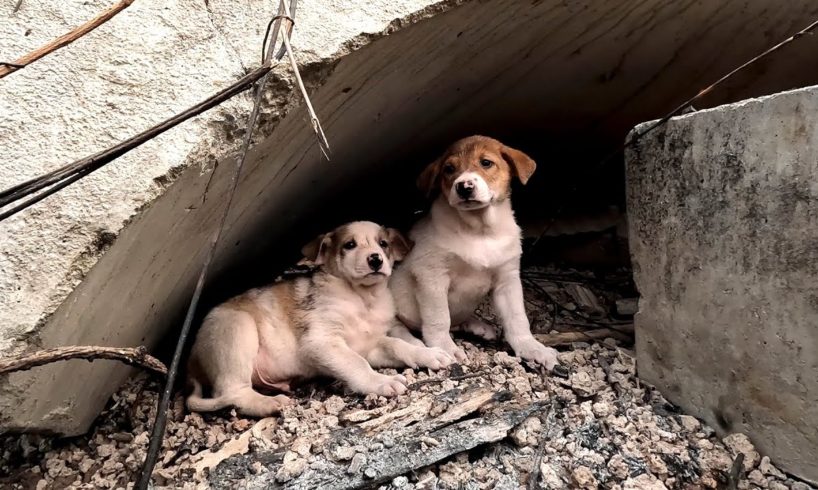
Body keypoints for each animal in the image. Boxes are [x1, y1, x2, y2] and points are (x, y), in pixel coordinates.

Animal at [186, 222, 452, 418]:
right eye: (350, 245)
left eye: (383, 243)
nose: (375, 259)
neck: (363, 298)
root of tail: (192, 359)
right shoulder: (322, 342)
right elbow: (356, 364)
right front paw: (381, 382)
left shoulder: (369, 347)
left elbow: (396, 344)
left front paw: (428, 354)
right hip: (238, 328)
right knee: (232, 391)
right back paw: (269, 404)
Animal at [388, 136, 556, 370]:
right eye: (449, 169)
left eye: (486, 163)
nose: (464, 187)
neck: (480, 230)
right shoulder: (431, 276)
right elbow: (439, 318)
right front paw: (446, 347)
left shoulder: (507, 280)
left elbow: (518, 318)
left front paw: (532, 348)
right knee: (400, 329)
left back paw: (477, 326)